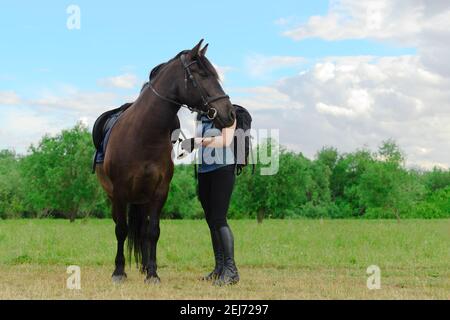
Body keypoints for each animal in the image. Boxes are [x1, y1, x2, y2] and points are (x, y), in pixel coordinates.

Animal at [95, 40, 236, 282]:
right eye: (202, 74)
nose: (230, 113)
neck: (143, 134)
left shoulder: (160, 191)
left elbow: (153, 231)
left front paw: (152, 272)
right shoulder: (120, 192)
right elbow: (121, 230)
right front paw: (119, 271)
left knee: (143, 230)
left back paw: (145, 265)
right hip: (116, 196)